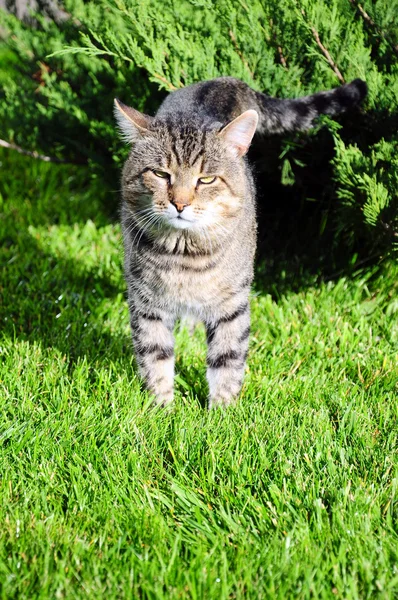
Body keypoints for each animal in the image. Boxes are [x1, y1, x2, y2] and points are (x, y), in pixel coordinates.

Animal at [112, 75, 366, 408]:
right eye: (160, 174)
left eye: (206, 179)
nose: (180, 203)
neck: (184, 253)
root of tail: (223, 80)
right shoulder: (146, 302)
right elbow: (154, 355)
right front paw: (161, 407)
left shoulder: (231, 302)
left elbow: (227, 356)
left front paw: (222, 410)